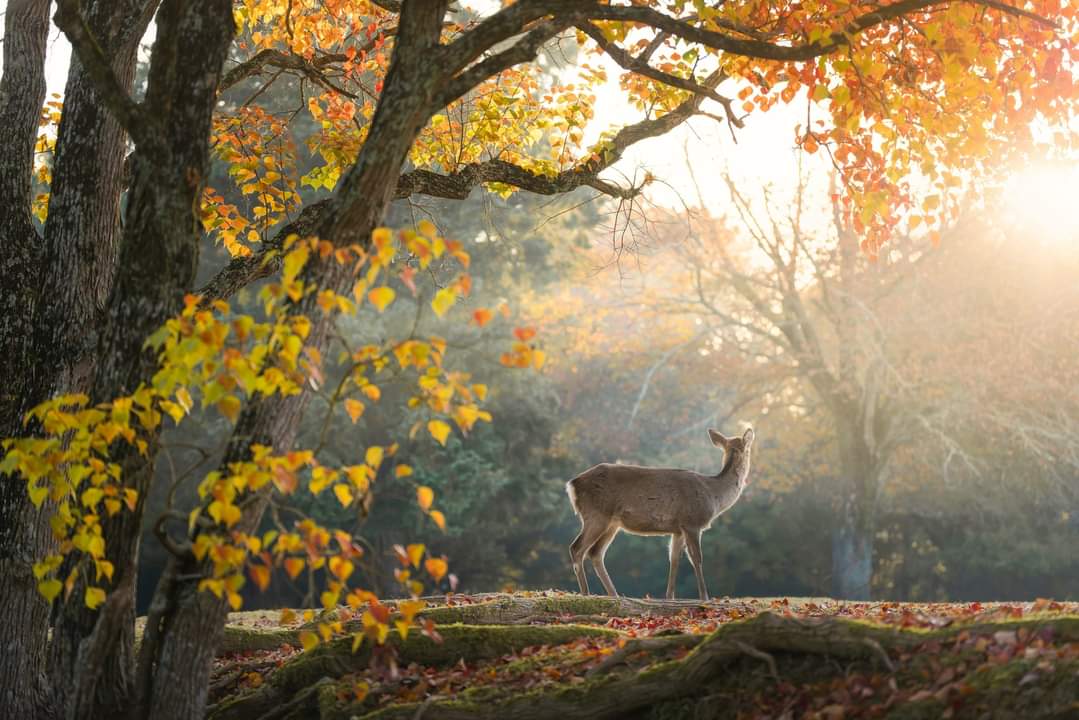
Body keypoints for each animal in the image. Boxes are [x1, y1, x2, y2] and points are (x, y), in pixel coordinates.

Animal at [566, 427, 754, 601]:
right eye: (749, 448)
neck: (714, 495)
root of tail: (572, 485)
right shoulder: (692, 522)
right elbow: (697, 558)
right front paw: (705, 597)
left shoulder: (678, 529)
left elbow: (674, 559)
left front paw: (670, 597)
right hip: (596, 515)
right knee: (577, 548)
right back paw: (586, 594)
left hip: (612, 523)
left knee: (595, 553)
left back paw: (615, 595)